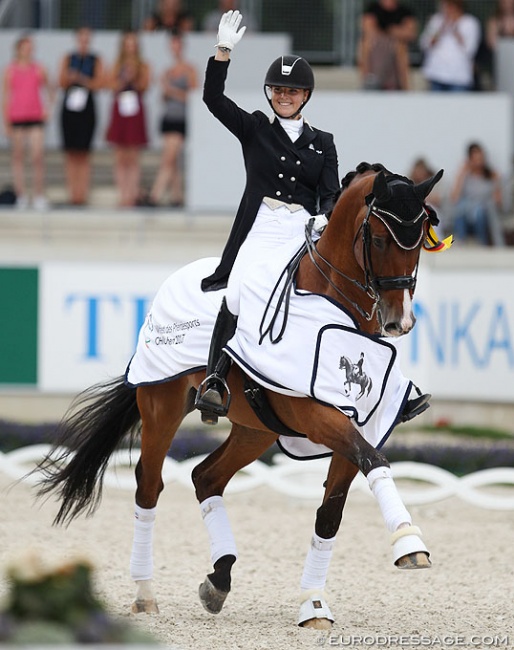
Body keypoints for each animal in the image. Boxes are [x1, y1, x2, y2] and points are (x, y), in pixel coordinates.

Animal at [37, 162, 444, 628]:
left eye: (419, 241)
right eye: (378, 239)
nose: (400, 322)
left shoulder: (362, 423)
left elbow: (334, 508)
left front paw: (314, 603)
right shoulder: (318, 416)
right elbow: (374, 461)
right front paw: (409, 542)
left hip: (256, 429)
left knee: (206, 477)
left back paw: (219, 578)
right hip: (162, 406)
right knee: (149, 484)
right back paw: (145, 593)